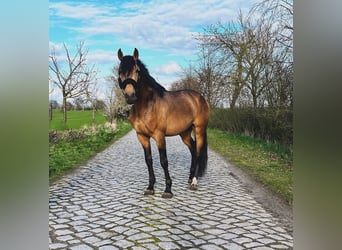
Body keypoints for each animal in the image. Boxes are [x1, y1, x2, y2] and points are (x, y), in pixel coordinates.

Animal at [116, 47, 210, 198]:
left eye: (137, 70)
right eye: (120, 71)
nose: (130, 97)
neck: (146, 106)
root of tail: (200, 98)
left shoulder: (159, 136)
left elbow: (163, 161)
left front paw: (168, 190)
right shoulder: (142, 136)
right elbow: (148, 160)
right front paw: (150, 187)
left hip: (199, 130)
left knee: (198, 151)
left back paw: (194, 182)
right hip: (184, 133)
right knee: (193, 150)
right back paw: (190, 178)